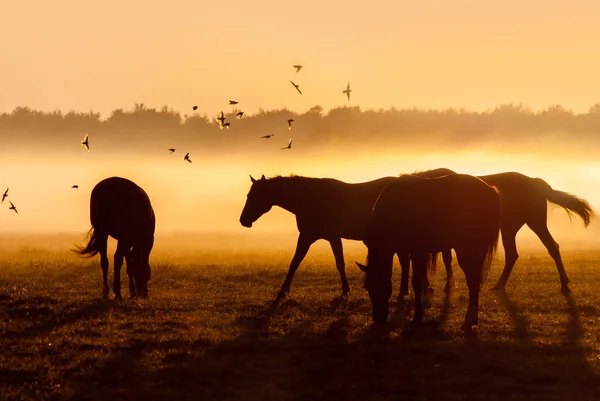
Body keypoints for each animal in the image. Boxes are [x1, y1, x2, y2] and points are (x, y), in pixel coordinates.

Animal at [239, 174, 398, 296]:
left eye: (255, 196)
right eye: (248, 195)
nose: (243, 220)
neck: (312, 199)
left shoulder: (331, 237)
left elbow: (340, 263)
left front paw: (345, 290)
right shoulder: (307, 236)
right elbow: (294, 262)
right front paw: (284, 290)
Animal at [356, 172, 502, 328]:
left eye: (381, 285)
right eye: (367, 287)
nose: (378, 320)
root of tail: (490, 190)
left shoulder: (418, 253)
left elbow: (416, 283)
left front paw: (417, 317)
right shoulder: (408, 252)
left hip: (466, 250)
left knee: (472, 279)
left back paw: (470, 318)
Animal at [398, 168, 596, 294]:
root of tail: (535, 182)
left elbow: (444, 258)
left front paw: (445, 286)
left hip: (523, 225)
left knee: (531, 251)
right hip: (522, 225)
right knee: (538, 250)